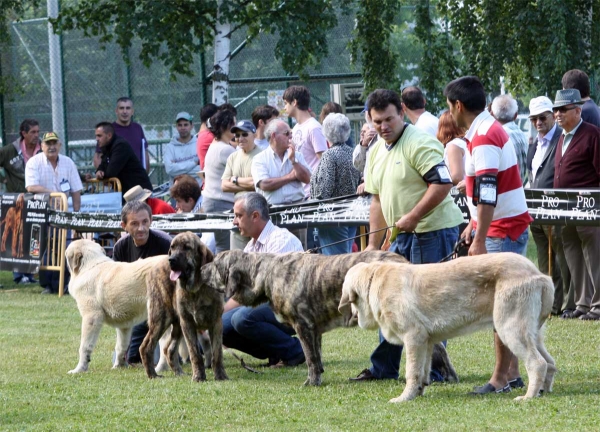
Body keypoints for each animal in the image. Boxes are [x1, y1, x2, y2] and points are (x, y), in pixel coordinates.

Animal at [66, 238, 169, 372]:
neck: (89, 266)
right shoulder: (124, 325)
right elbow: (121, 347)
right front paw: (118, 366)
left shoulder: (91, 317)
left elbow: (84, 346)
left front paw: (79, 369)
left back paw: (159, 369)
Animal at [139, 233, 229, 382]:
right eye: (172, 247)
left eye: (187, 248)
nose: (171, 260)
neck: (197, 288)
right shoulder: (188, 323)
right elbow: (195, 354)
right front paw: (198, 376)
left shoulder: (216, 322)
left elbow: (217, 353)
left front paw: (221, 376)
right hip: (161, 319)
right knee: (146, 347)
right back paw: (153, 375)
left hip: (176, 324)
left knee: (169, 349)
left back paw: (178, 372)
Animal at [199, 248, 458, 386]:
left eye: (215, 263)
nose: (201, 268)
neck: (266, 273)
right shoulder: (314, 330)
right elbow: (317, 356)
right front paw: (319, 375)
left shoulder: (303, 326)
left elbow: (310, 358)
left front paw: (312, 381)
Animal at [340, 251, 556, 404]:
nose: (352, 315)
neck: (373, 280)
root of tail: (538, 274)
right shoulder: (426, 342)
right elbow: (423, 372)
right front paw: (418, 393)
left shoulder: (413, 337)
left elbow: (412, 372)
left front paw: (404, 398)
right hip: (532, 333)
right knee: (550, 363)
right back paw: (542, 392)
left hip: (510, 329)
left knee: (537, 363)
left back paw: (528, 397)